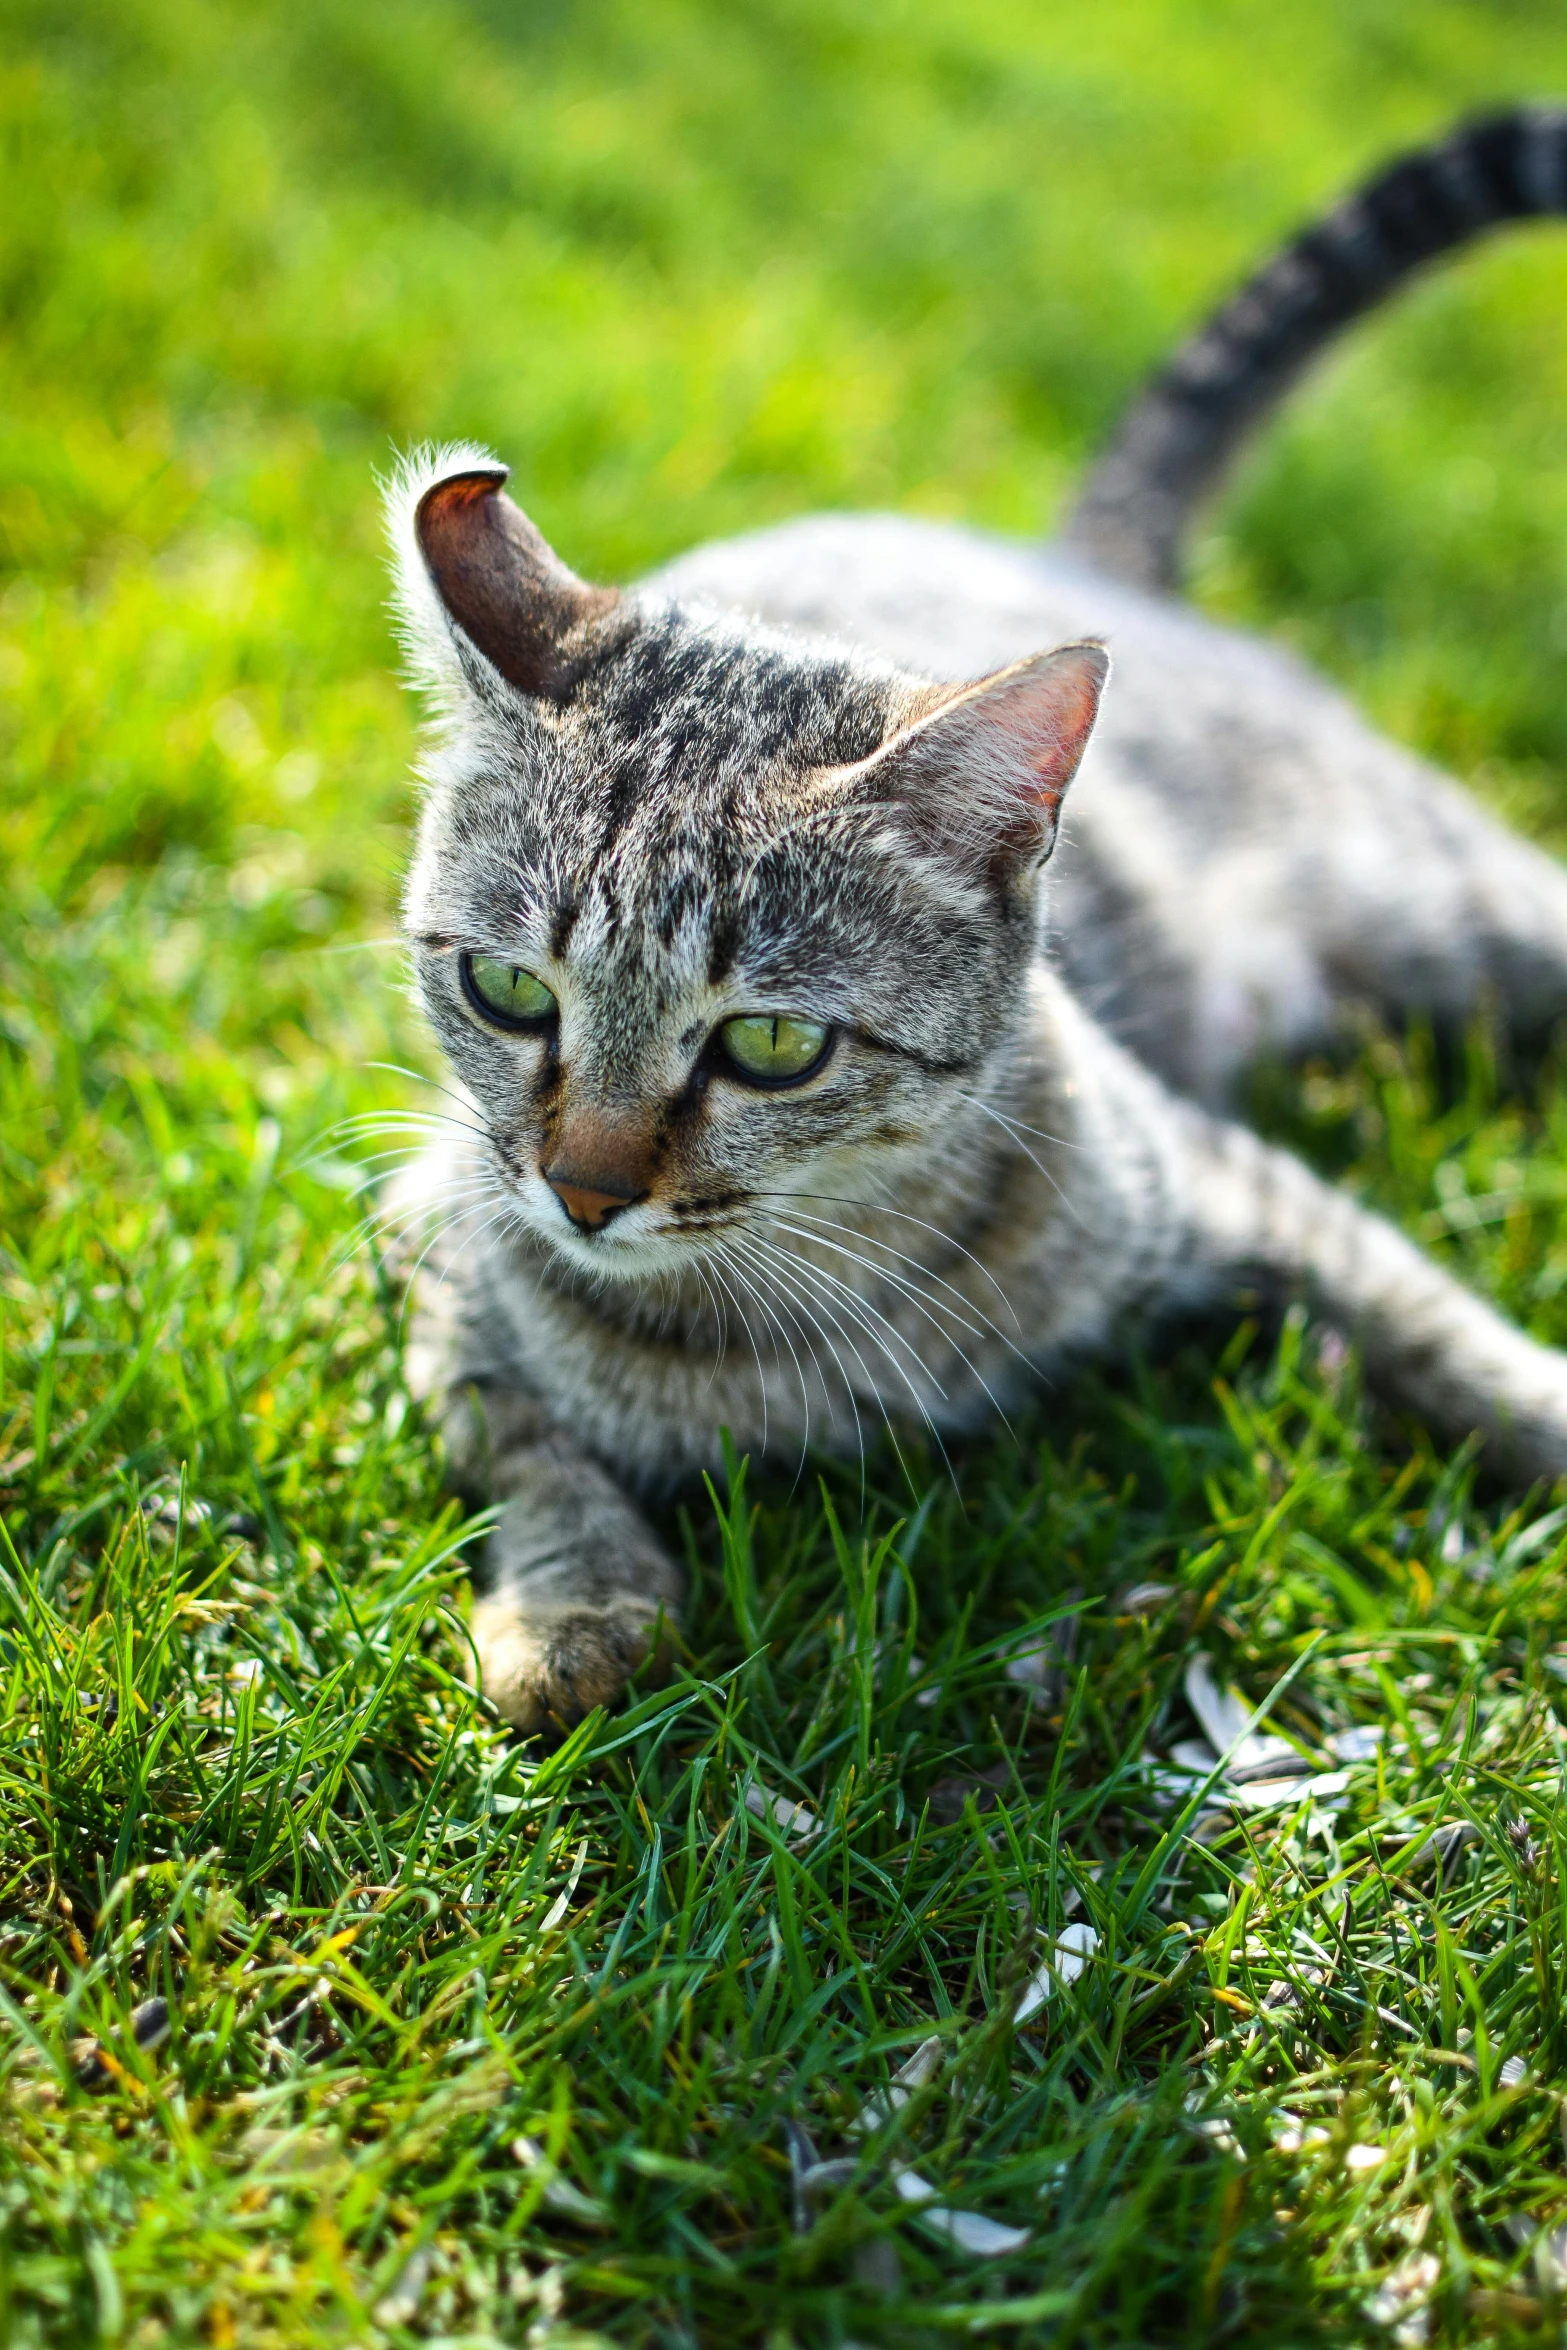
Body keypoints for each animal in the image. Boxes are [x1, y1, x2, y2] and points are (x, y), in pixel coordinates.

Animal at [385, 110, 1567, 1729]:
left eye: (770, 1044)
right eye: (510, 992)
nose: (581, 1191)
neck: (774, 1334)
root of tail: (1071, 554)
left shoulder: (1222, 1175)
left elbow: (1433, 1320)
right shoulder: (424, 1229)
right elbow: (517, 1438)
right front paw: (573, 1603)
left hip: (1460, 906)